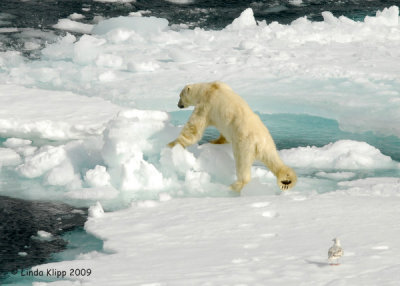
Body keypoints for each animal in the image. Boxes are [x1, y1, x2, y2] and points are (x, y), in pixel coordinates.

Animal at [166, 81, 296, 192]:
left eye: (180, 96)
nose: (178, 105)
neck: (208, 87)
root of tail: (260, 141)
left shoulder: (205, 104)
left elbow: (194, 128)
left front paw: (172, 143)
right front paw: (215, 141)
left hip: (244, 144)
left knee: (242, 163)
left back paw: (235, 185)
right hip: (269, 143)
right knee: (273, 159)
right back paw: (286, 180)